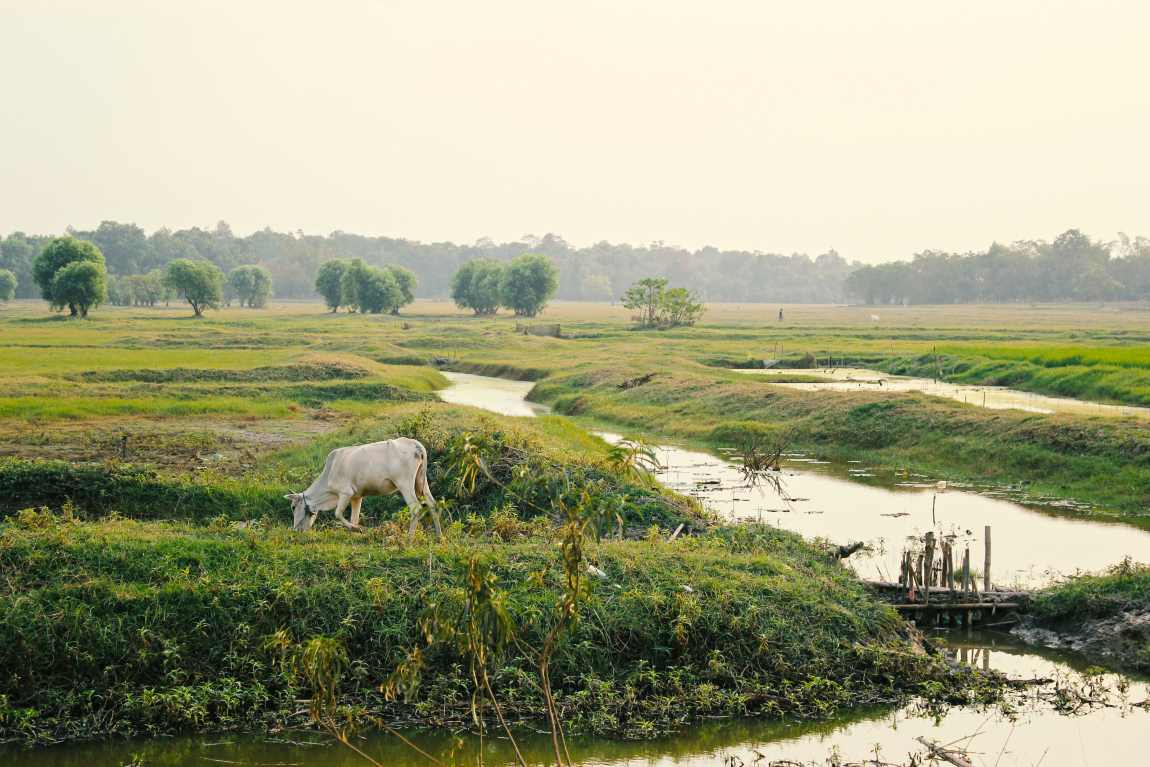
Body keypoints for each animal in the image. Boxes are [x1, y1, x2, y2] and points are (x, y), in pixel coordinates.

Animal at [284, 437, 441, 539]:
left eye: (293, 507)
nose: (295, 530)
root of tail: (416, 445)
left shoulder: (345, 493)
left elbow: (338, 513)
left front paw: (360, 529)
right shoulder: (357, 497)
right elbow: (354, 517)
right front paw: (353, 532)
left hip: (404, 483)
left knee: (416, 508)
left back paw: (409, 539)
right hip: (421, 482)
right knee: (432, 504)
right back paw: (439, 537)